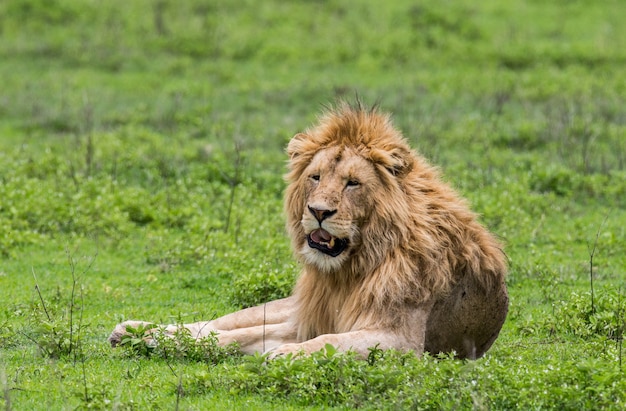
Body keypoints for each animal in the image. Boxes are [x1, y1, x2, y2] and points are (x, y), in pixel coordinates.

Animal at [108, 103, 508, 360]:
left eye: (352, 183)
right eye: (315, 177)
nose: (318, 211)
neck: (349, 270)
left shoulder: (400, 339)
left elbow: (327, 341)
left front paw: (287, 355)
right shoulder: (308, 321)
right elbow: (235, 336)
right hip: (282, 309)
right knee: (215, 325)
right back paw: (134, 329)